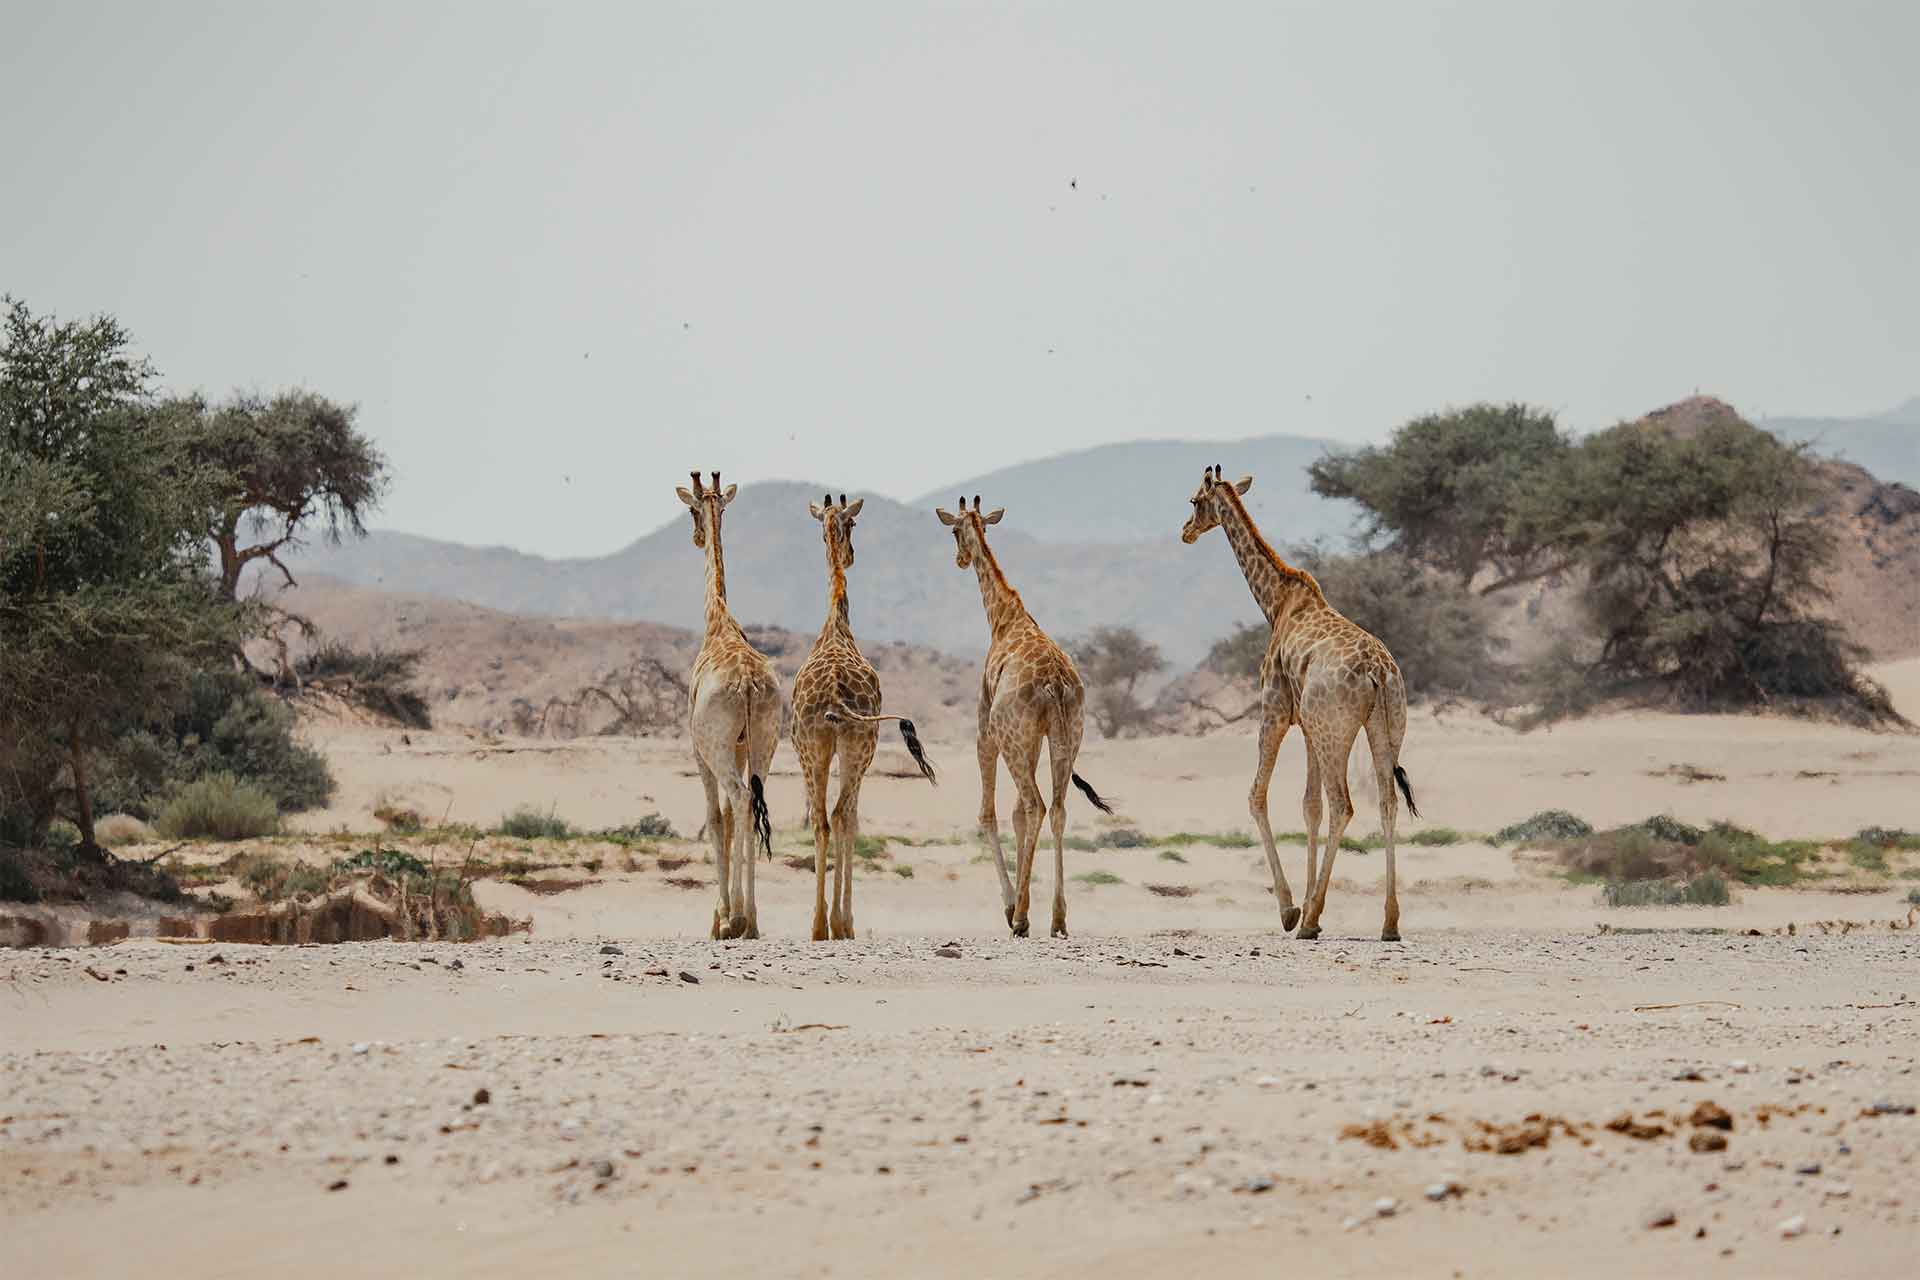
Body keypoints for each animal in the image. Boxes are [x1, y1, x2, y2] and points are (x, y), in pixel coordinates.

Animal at [789, 493, 938, 941]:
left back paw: (819, 924)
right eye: (854, 525)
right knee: (842, 816)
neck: (837, 625)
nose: (852, 555)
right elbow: (851, 819)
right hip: (857, 747)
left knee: (823, 820)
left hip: (815, 748)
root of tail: (836, 696)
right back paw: (840, 922)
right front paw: (845, 921)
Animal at [935, 496, 1114, 937]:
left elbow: (989, 813)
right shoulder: (1033, 738)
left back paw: (1020, 916)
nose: (960, 559)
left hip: (1012, 738)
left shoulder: (985, 730)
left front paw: (1011, 905)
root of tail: (1055, 685)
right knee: (1058, 808)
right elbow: (1017, 814)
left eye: (953, 530)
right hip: (1068, 735)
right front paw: (1024, 901)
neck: (1003, 618)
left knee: (1036, 805)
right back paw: (1058, 917)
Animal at [1180, 465, 1419, 942]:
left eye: (1195, 501)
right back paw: (1389, 922)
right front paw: (1307, 903)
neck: (1275, 602)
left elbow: (1257, 795)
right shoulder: (1308, 727)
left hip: (1336, 731)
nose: (1185, 532)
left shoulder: (1273, 711)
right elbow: (1310, 807)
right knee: (1385, 803)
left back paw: (1310, 922)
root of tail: (1378, 673)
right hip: (1383, 727)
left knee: (1344, 804)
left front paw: (1292, 909)